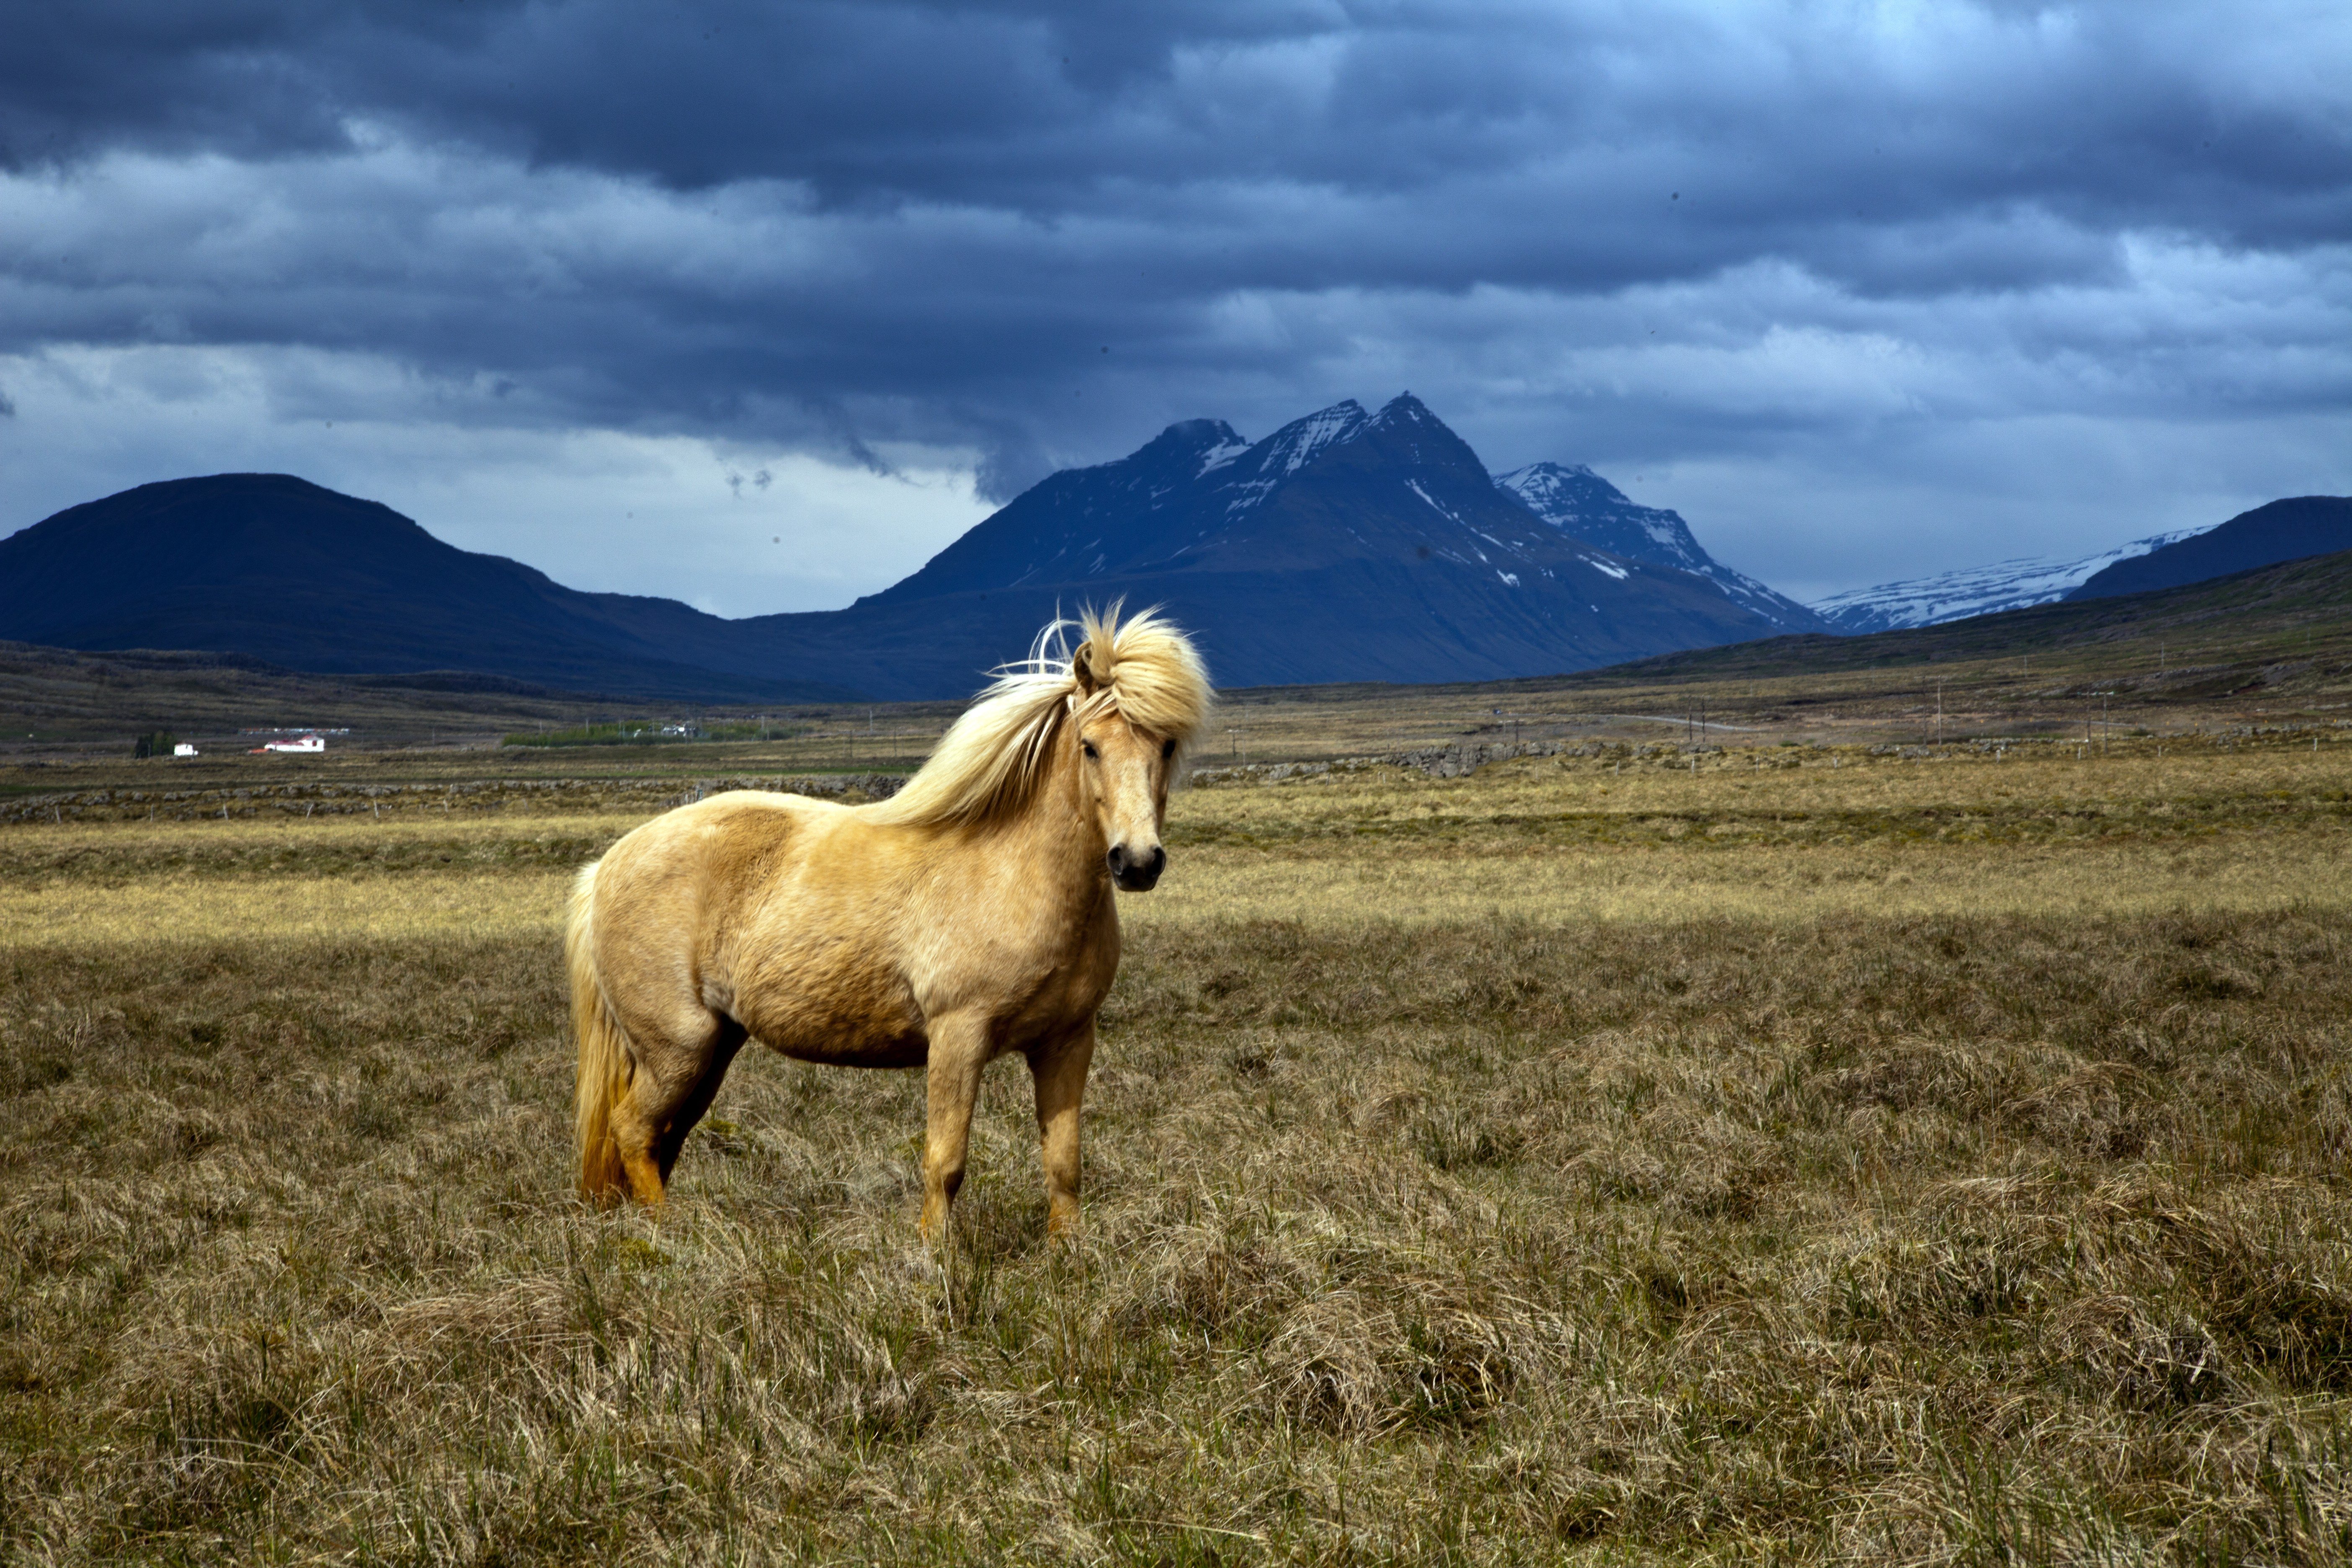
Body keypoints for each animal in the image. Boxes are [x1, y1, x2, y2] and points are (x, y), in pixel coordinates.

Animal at [569, 611, 1213, 1241]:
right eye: (1090, 747)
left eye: (1167, 745)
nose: (1136, 862)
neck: (1018, 874)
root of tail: (606, 866)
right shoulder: (958, 1039)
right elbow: (946, 1161)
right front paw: (933, 1256)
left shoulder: (1068, 1043)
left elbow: (1063, 1161)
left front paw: (1068, 1253)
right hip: (678, 1046)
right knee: (634, 1130)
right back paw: (670, 1240)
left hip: (714, 1048)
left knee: (661, 1138)